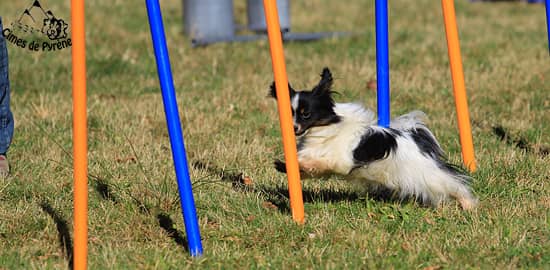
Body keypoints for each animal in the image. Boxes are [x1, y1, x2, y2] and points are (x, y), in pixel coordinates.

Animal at [272, 67, 478, 209]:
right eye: (290, 114)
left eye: (306, 114)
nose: (293, 128)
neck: (325, 129)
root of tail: (416, 138)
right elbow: (308, 168)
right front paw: (286, 167)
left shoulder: (340, 160)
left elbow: (315, 162)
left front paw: (287, 164)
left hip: (428, 175)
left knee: (454, 182)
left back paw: (468, 205)